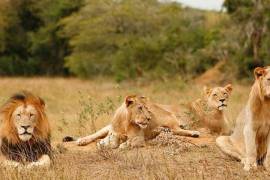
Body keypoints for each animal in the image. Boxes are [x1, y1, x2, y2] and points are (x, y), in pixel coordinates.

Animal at [62, 95, 199, 148]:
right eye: (140, 108)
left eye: (147, 109)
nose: (149, 118)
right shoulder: (112, 134)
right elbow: (107, 141)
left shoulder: (139, 138)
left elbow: (129, 142)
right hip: (106, 128)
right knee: (95, 135)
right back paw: (82, 140)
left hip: (169, 120)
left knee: (178, 130)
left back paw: (193, 132)